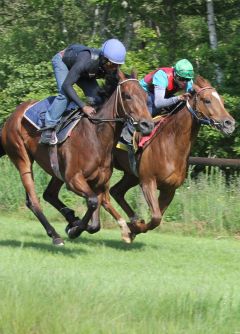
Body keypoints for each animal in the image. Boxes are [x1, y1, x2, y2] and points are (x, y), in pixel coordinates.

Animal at [0, 70, 154, 245]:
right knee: (33, 200)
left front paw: (75, 225)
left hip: (57, 170)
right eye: (127, 96)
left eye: (145, 96)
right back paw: (55, 235)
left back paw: (70, 218)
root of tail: (13, 115)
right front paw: (75, 229)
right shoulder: (73, 179)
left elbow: (95, 221)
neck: (96, 136)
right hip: (22, 158)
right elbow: (93, 202)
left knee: (48, 194)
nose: (147, 125)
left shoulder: (98, 183)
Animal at [89, 76, 234, 243]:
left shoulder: (169, 189)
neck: (172, 143)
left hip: (131, 175)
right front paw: (134, 228)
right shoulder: (148, 182)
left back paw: (130, 221)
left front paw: (135, 227)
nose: (229, 123)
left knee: (116, 191)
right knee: (104, 197)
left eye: (222, 101)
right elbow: (156, 217)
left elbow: (156, 220)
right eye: (207, 100)